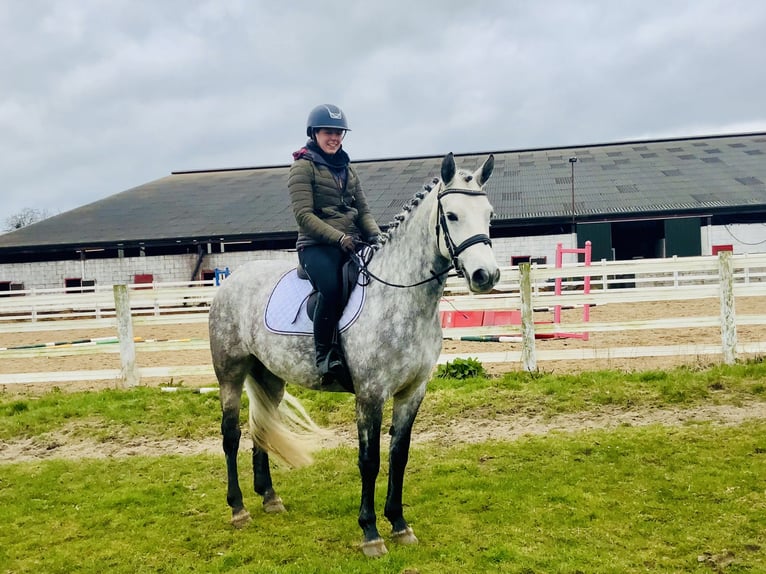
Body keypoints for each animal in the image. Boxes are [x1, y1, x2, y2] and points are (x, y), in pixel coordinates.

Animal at [207, 152, 500, 560]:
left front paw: (400, 525)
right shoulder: (370, 395)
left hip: (270, 378)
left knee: (261, 427)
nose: (485, 275)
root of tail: (230, 280)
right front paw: (371, 533)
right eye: (453, 215)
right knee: (231, 434)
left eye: (488, 214)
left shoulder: (413, 392)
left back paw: (270, 498)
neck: (400, 296)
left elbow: (398, 455)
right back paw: (237, 508)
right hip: (230, 375)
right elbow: (369, 460)